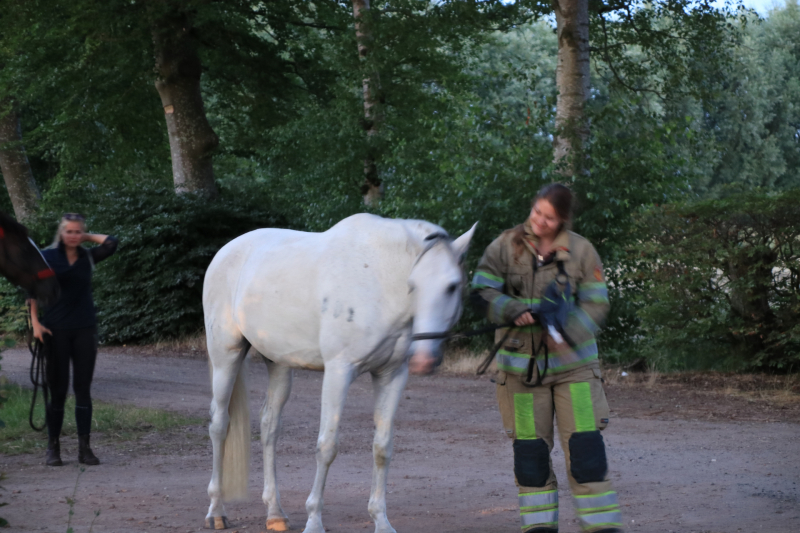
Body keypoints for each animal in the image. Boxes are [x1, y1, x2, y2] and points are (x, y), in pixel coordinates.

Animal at [202, 213, 477, 532]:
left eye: (452, 286)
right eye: (413, 285)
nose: (424, 360)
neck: (378, 278)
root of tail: (225, 252)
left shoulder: (392, 375)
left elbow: (382, 448)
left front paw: (381, 521)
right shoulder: (338, 371)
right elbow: (327, 446)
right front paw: (314, 521)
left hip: (279, 363)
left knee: (270, 426)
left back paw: (275, 513)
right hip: (226, 355)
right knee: (219, 424)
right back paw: (216, 511)